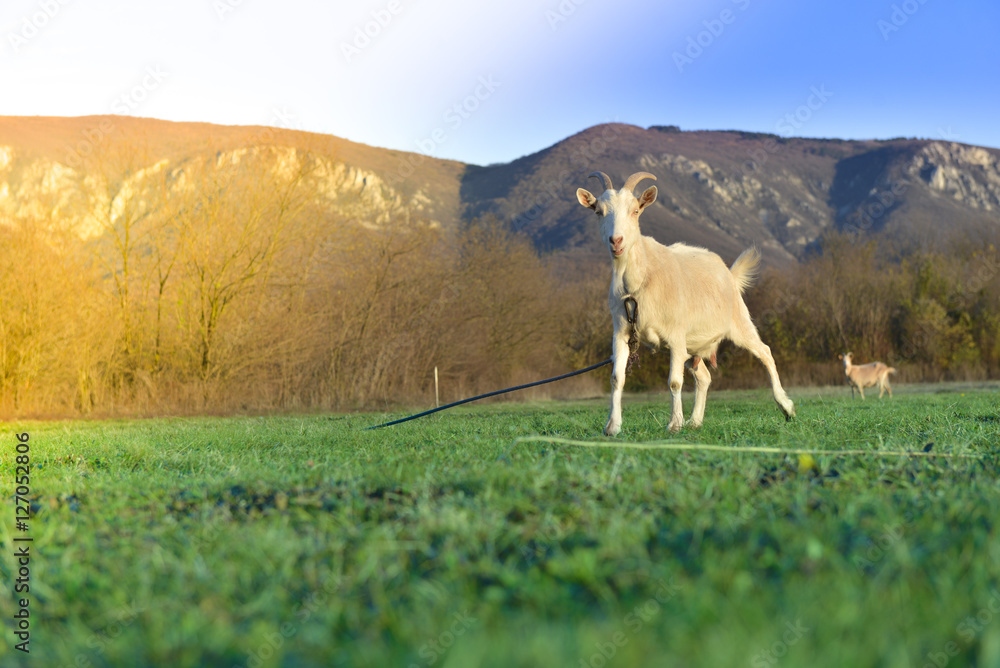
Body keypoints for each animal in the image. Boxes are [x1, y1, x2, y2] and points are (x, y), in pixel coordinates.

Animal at [576, 171, 796, 434]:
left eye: (635, 211)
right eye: (599, 211)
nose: (616, 241)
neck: (639, 281)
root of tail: (730, 274)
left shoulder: (676, 336)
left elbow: (674, 382)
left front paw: (674, 424)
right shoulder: (622, 332)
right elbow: (617, 378)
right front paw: (612, 426)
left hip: (739, 322)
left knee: (765, 352)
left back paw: (786, 407)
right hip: (694, 346)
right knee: (704, 376)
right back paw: (695, 421)